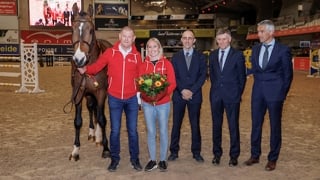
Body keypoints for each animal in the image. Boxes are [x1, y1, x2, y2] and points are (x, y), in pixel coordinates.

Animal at [69, 2, 111, 160]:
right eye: (72, 29)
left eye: (91, 30)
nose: (79, 59)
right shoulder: (78, 93)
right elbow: (78, 121)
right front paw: (75, 150)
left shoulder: (101, 92)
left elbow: (102, 119)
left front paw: (106, 148)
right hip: (88, 94)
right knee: (91, 108)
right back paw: (93, 133)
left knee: (98, 112)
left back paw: (98, 136)